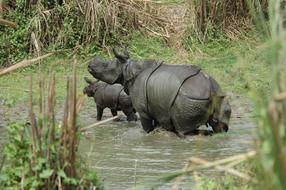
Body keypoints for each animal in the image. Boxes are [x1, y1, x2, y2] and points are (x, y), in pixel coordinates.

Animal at [88, 48, 231, 136]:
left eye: (105, 66)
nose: (89, 64)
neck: (127, 68)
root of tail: (210, 89)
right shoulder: (157, 106)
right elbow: (158, 122)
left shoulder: (143, 110)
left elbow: (146, 127)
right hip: (218, 94)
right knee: (220, 125)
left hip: (190, 98)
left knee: (184, 130)